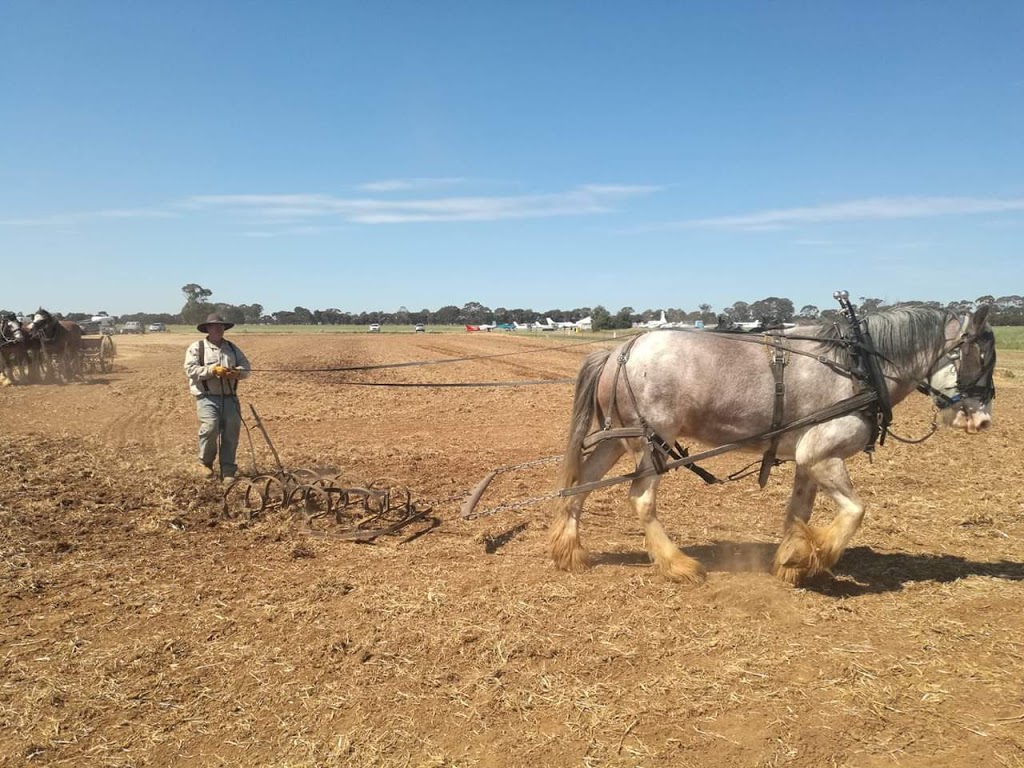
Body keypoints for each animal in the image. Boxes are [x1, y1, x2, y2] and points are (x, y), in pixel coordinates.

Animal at [548, 303, 995, 585]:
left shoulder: (807, 460)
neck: (859, 366)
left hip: (619, 439)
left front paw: (791, 560)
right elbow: (855, 511)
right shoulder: (823, 454)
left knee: (582, 482)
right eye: (983, 356)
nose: (983, 419)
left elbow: (798, 511)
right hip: (652, 442)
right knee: (640, 498)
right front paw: (810, 556)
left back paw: (569, 551)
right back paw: (677, 564)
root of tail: (621, 349)